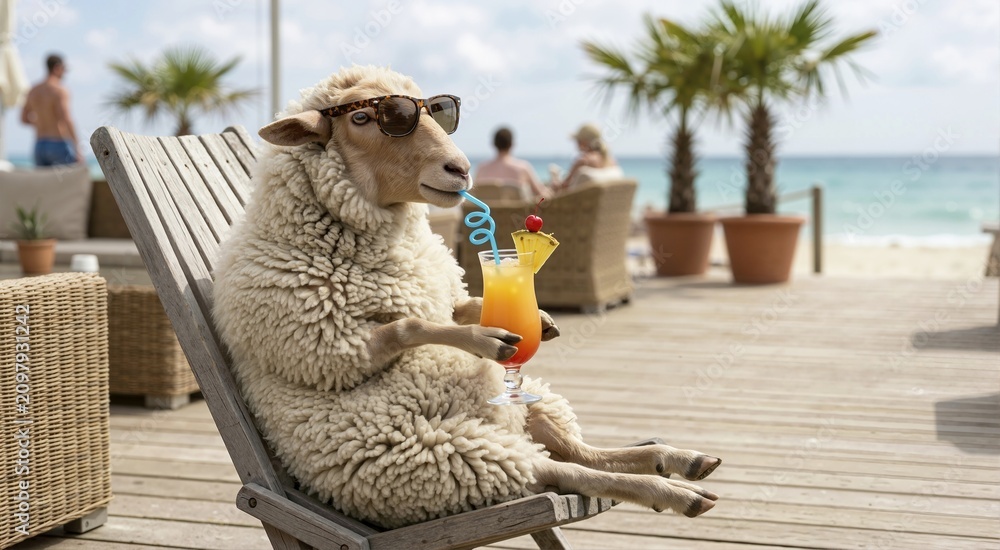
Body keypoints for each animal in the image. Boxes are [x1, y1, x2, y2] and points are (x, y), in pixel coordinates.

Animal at [212, 65, 721, 530]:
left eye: (441, 111)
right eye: (362, 117)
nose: (461, 169)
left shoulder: (440, 293)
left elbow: (456, 307)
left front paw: (538, 319)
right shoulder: (329, 351)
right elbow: (409, 324)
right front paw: (485, 338)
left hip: (522, 415)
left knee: (580, 451)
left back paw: (673, 458)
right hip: (460, 452)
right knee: (565, 470)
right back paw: (671, 490)